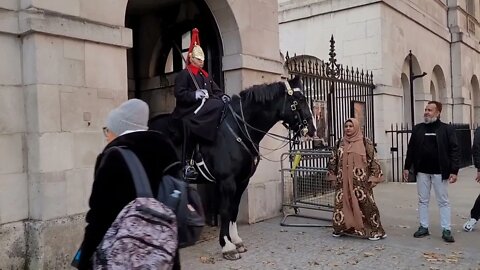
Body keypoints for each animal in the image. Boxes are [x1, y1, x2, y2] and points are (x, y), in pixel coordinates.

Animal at [149, 75, 316, 260]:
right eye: (300, 99)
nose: (313, 130)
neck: (239, 130)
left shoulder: (242, 181)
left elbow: (234, 210)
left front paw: (236, 240)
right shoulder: (227, 182)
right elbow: (225, 210)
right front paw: (227, 245)